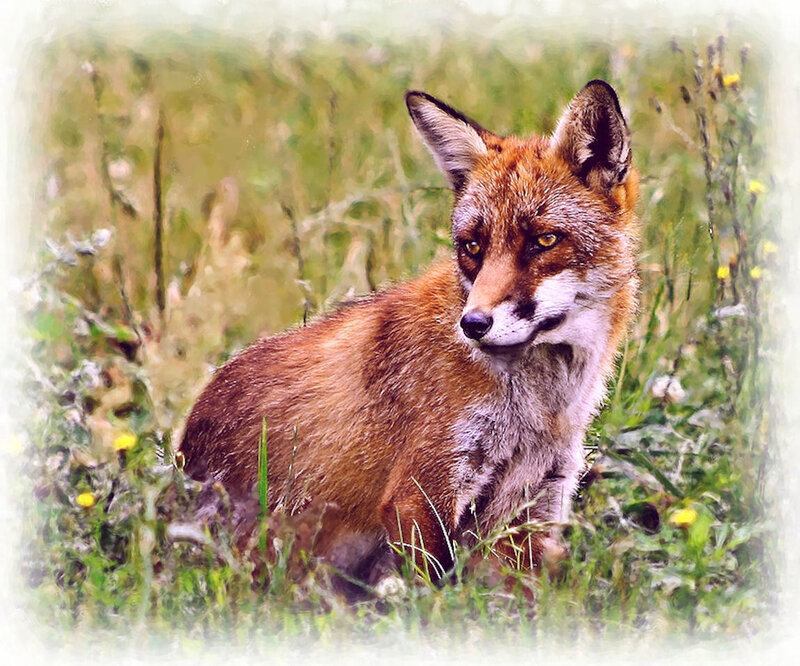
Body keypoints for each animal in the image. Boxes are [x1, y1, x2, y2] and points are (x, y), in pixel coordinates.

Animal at [179, 79, 639, 586]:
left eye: (544, 240)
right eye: (472, 246)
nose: (473, 325)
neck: (538, 410)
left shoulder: (533, 505)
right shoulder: (421, 490)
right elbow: (430, 595)